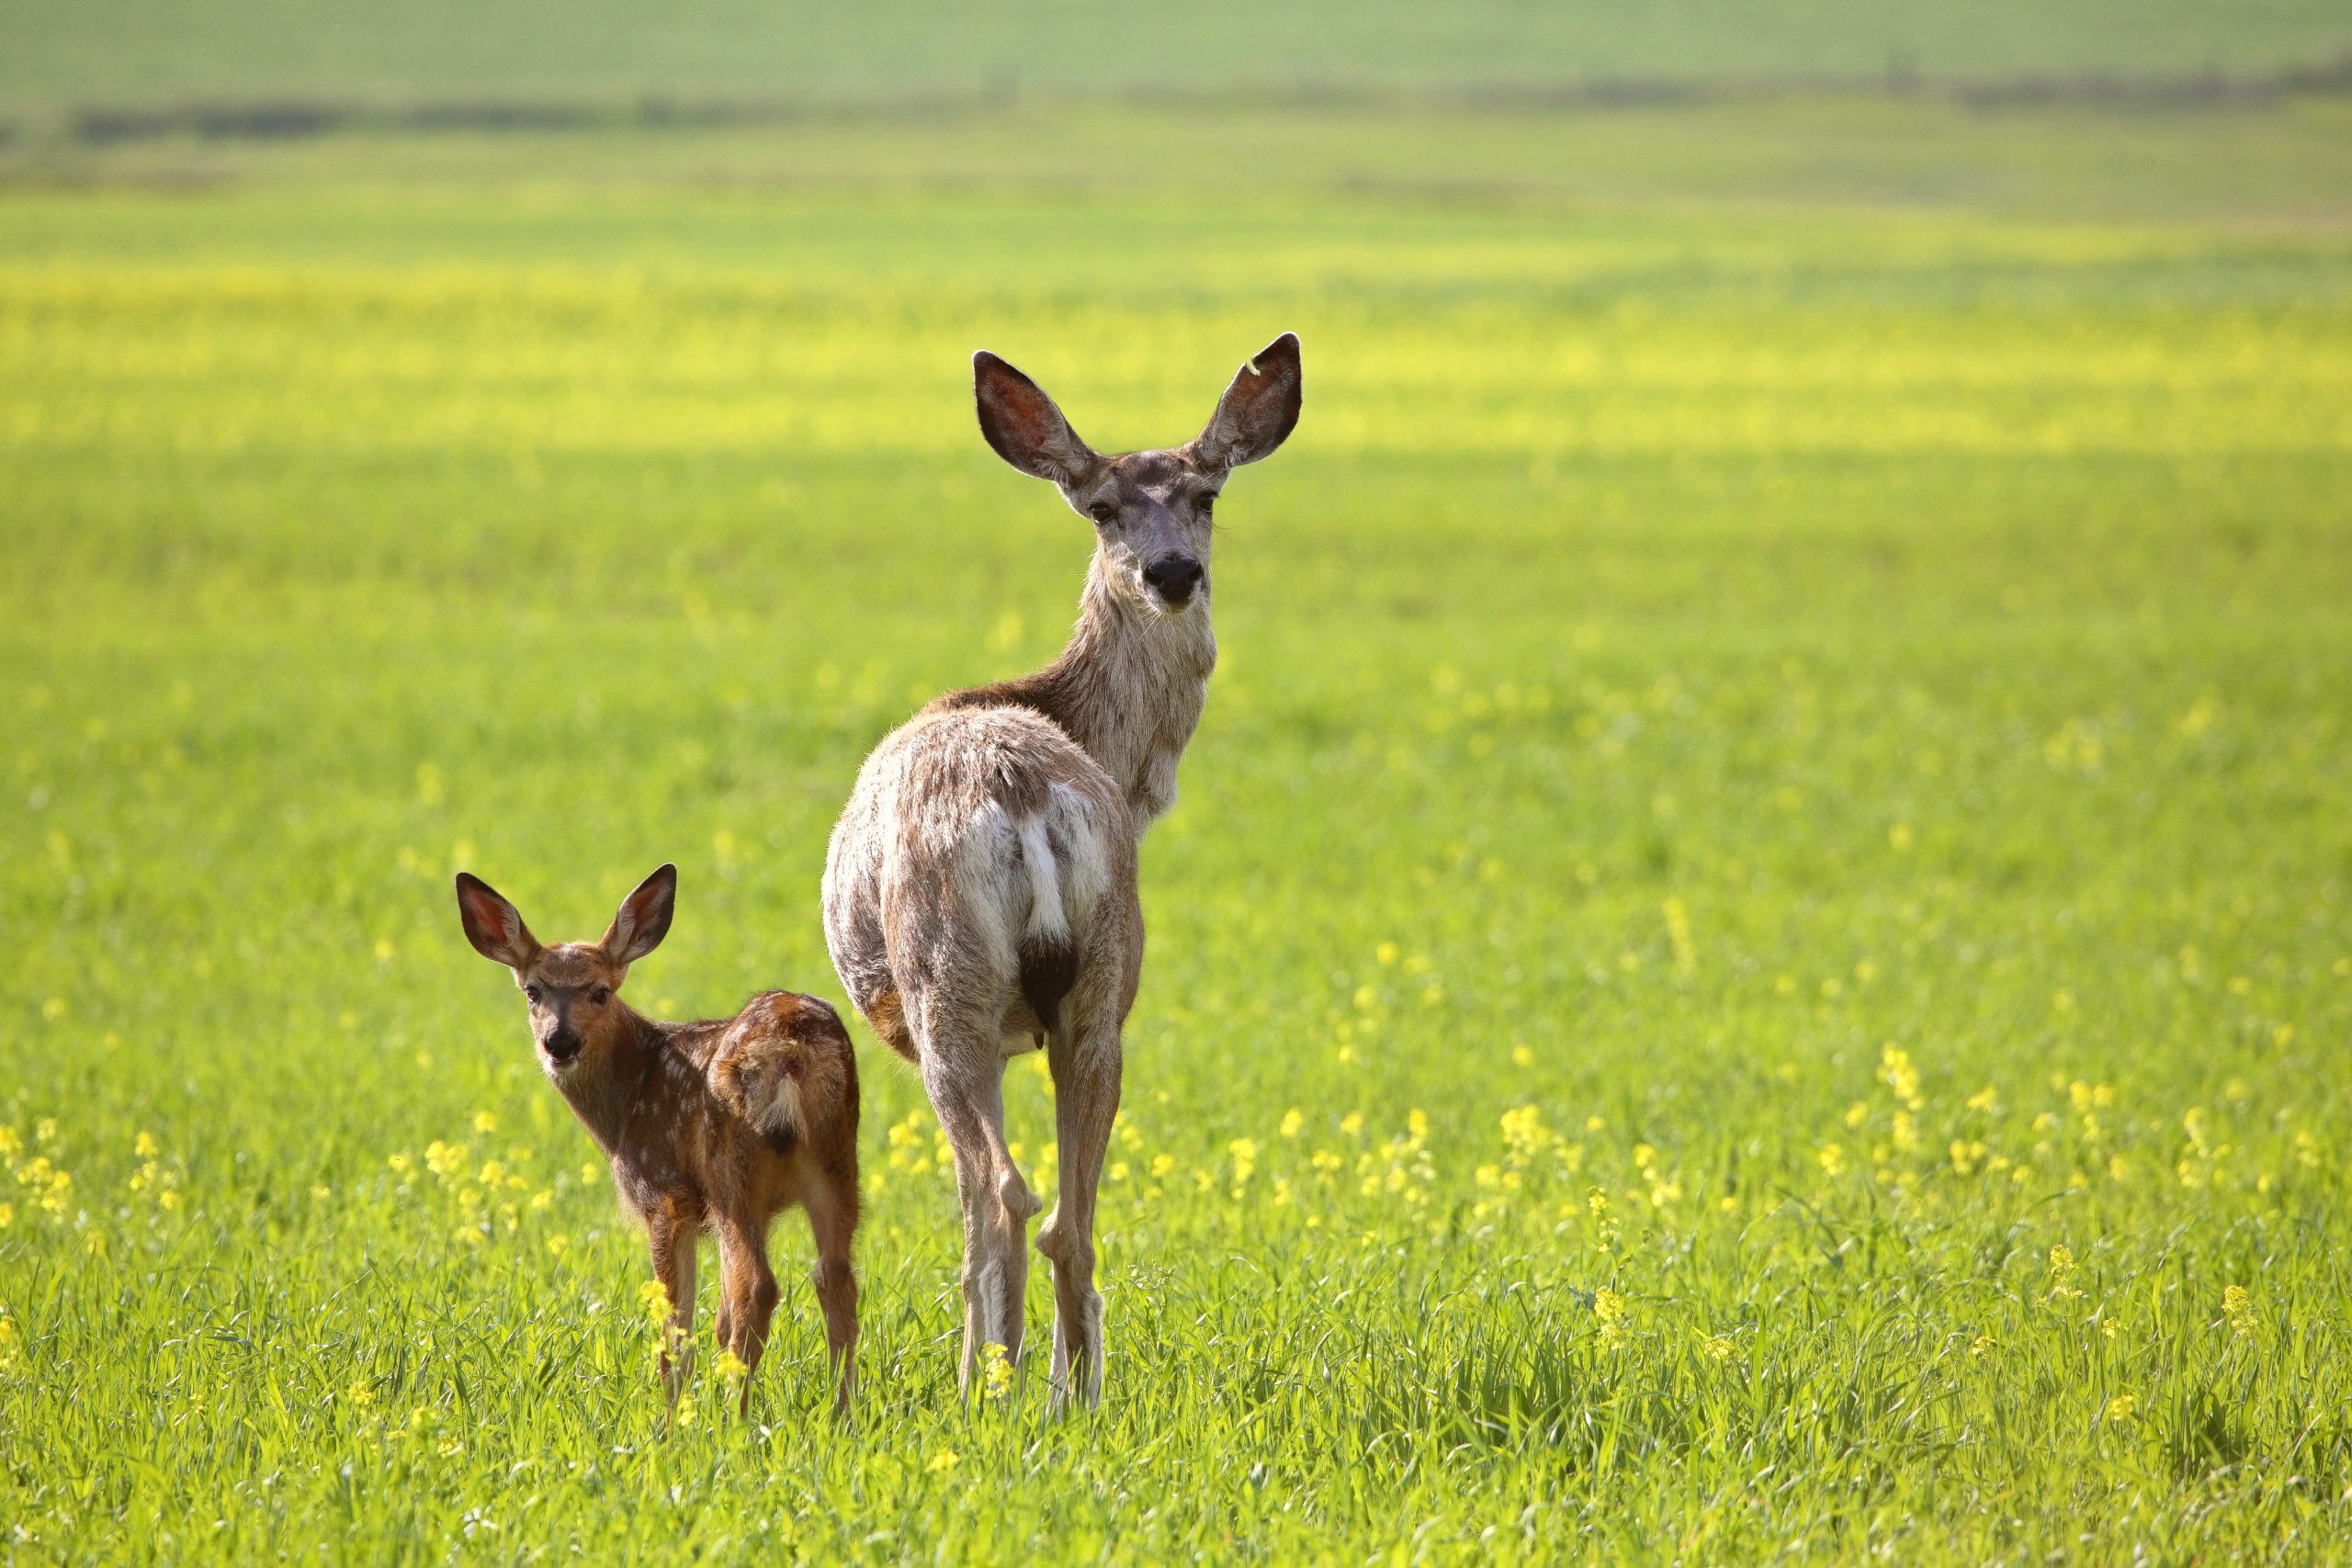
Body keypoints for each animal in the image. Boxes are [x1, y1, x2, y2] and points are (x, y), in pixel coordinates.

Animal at [453, 863, 861, 1416]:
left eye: (600, 991)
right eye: (533, 991)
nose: (560, 1042)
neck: (628, 1098)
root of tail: (791, 1045)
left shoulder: (665, 1194)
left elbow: (677, 1323)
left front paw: (671, 1419)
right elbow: (714, 1319)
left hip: (731, 1172)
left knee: (758, 1287)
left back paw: (736, 1419)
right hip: (836, 1160)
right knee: (834, 1277)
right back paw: (843, 1416)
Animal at [821, 333, 1302, 1408]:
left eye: (1206, 494)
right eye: (1104, 506)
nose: (1171, 571)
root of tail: (1021, 795)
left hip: (945, 982)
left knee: (1001, 1197)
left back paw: (986, 1392)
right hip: (1106, 979)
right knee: (1069, 1221)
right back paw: (1073, 1395)